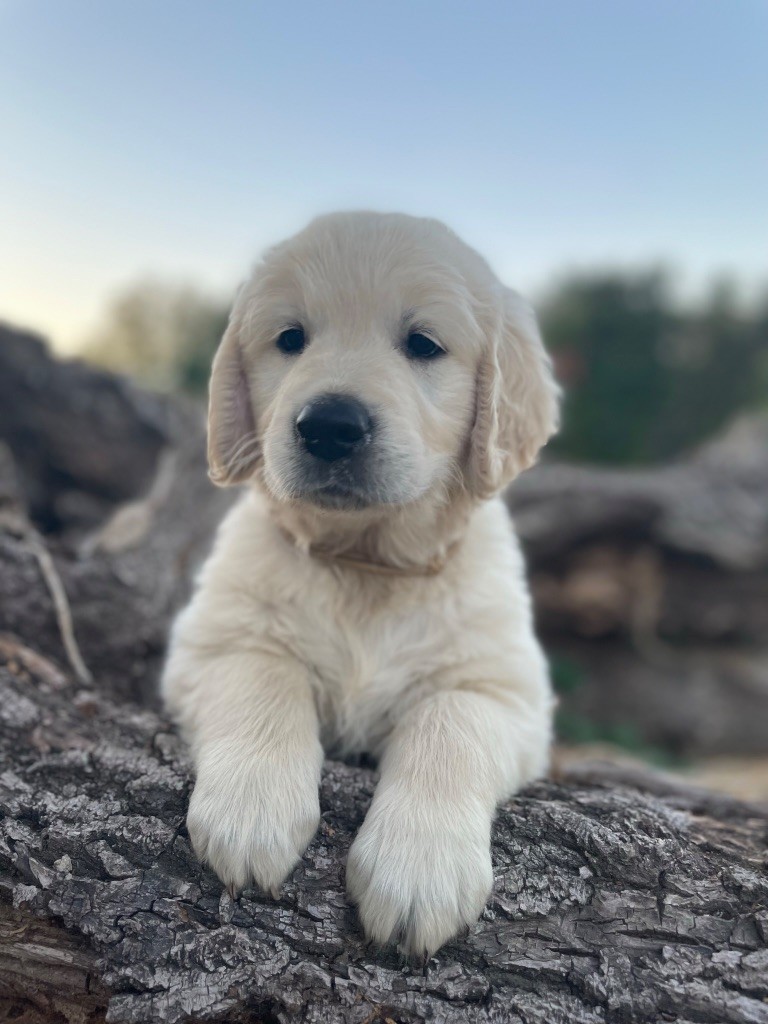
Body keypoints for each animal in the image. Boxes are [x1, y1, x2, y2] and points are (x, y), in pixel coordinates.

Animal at [160, 211, 561, 954]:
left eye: (423, 344)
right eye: (290, 339)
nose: (330, 425)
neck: (365, 564)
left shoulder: (504, 688)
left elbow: (448, 721)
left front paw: (419, 869)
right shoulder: (217, 640)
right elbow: (264, 676)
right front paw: (250, 809)